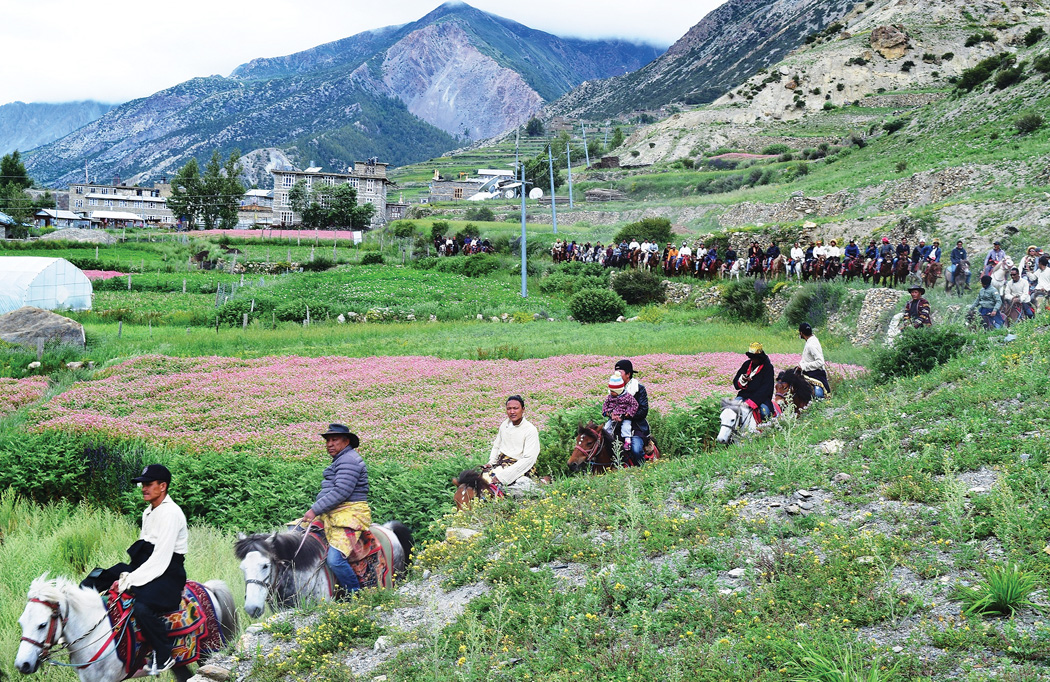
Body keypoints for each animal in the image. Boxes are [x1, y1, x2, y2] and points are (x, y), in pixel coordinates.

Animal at [15, 574, 235, 679]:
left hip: (209, 652)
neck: (95, 633)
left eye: (42, 624)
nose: (22, 665)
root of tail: (207, 588)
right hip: (179, 663)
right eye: (22, 622)